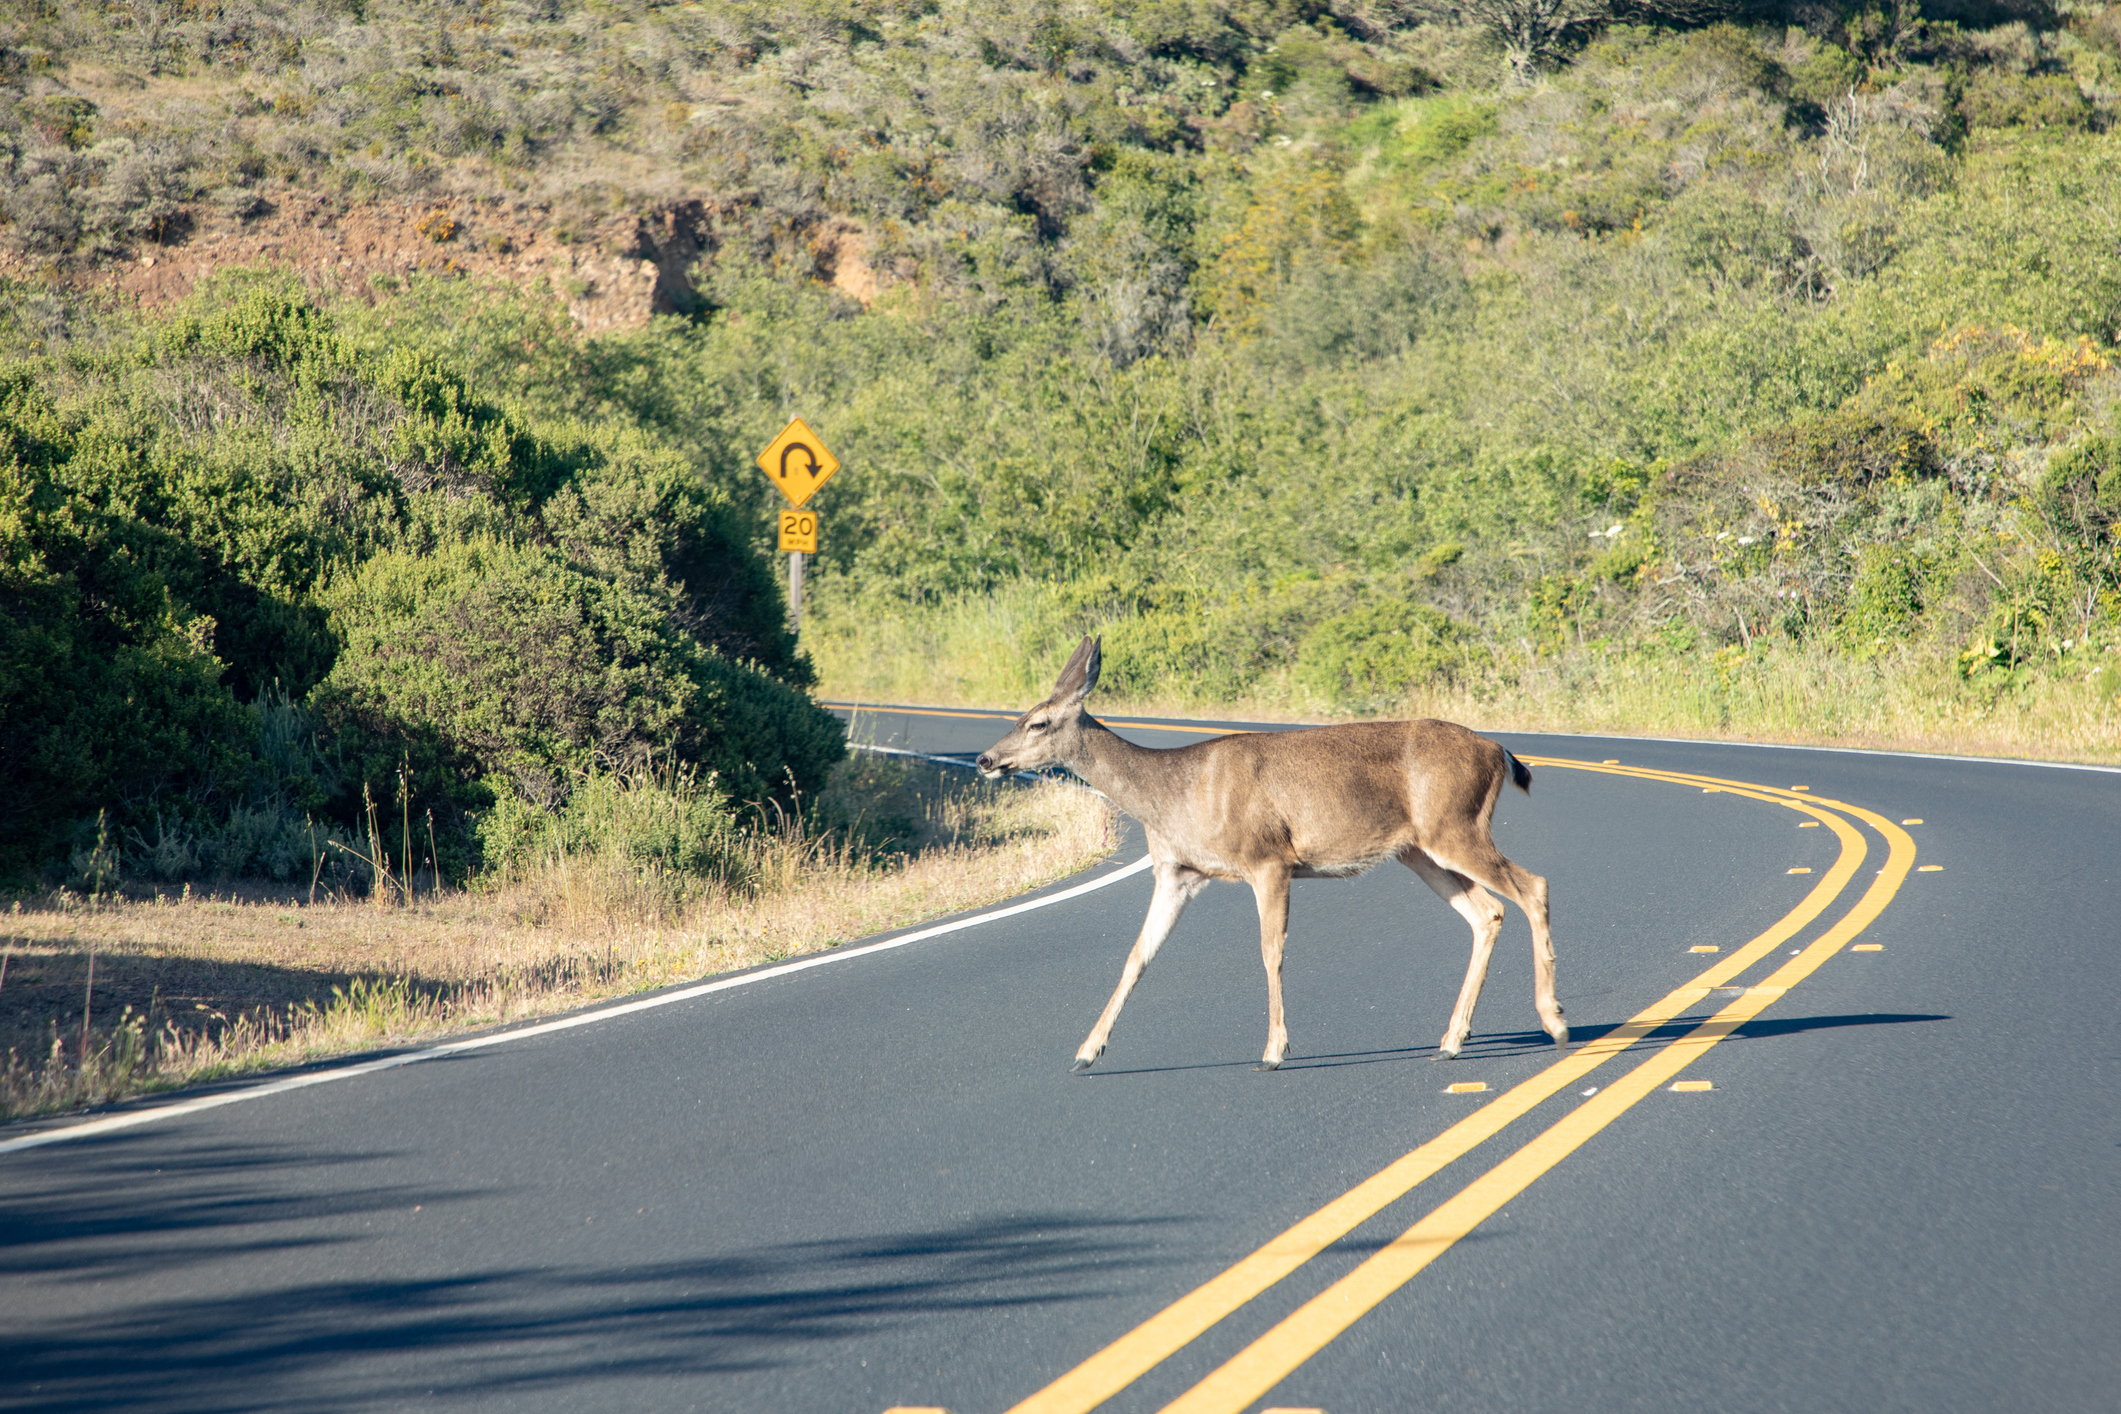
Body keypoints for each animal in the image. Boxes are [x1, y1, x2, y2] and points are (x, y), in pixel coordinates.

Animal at [971, 635, 1561, 1068]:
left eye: (1038, 722)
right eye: (1020, 716)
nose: (984, 759)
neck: (1172, 795)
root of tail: (1499, 751)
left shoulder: (1268, 859)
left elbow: (1270, 951)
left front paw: (1275, 1050)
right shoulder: (1177, 873)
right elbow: (1137, 956)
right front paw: (1087, 1051)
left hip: (1455, 826)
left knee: (1533, 887)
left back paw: (1552, 1019)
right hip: (1420, 850)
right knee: (1488, 911)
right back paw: (1452, 1039)